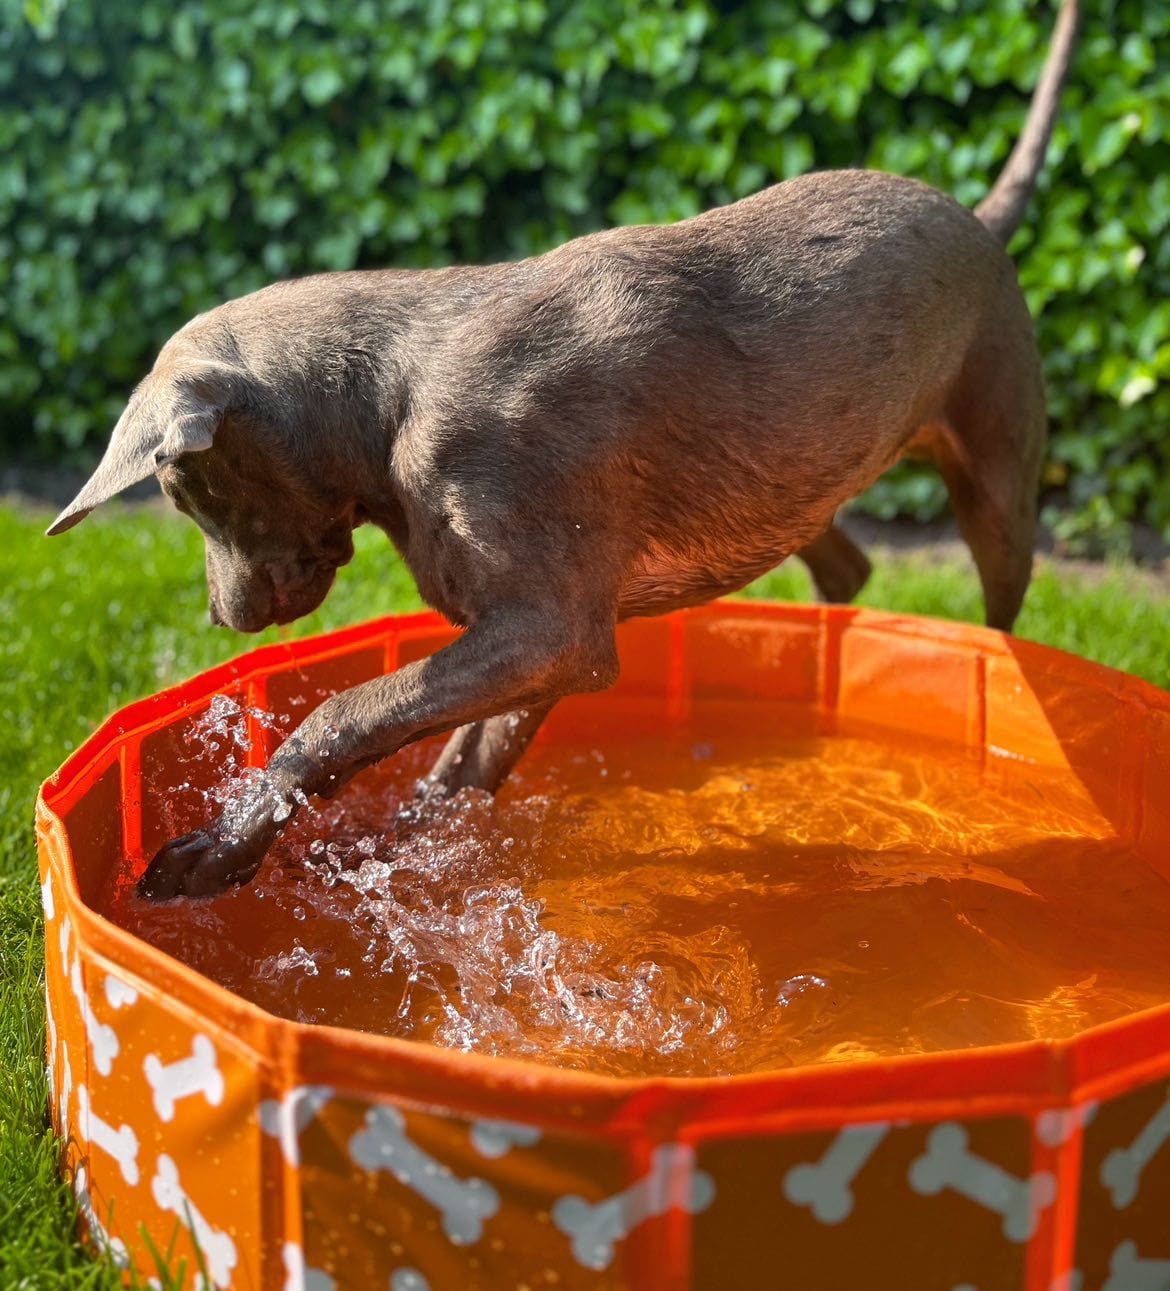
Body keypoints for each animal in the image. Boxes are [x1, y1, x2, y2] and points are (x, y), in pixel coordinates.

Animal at [47, 0, 1074, 898]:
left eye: (178, 489)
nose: (222, 618)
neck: (385, 401)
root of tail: (977, 215)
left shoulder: (551, 627)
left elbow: (344, 714)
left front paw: (213, 856)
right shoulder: (542, 631)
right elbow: (458, 761)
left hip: (993, 473)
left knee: (997, 601)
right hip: (789, 478)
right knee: (848, 565)